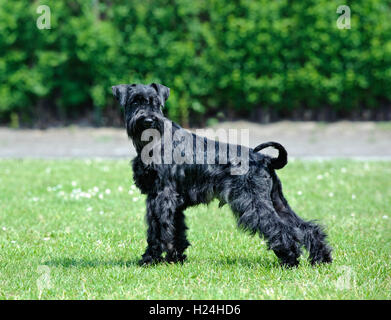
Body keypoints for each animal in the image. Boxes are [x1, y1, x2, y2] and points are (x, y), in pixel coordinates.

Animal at [112, 83, 332, 268]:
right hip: (276, 201)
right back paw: (321, 258)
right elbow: (177, 230)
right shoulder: (173, 201)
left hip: (253, 203)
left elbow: (157, 230)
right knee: (304, 228)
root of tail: (264, 159)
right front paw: (176, 259)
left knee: (282, 229)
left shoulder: (160, 197)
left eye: (156, 103)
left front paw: (150, 259)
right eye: (135, 101)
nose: (148, 120)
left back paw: (290, 260)